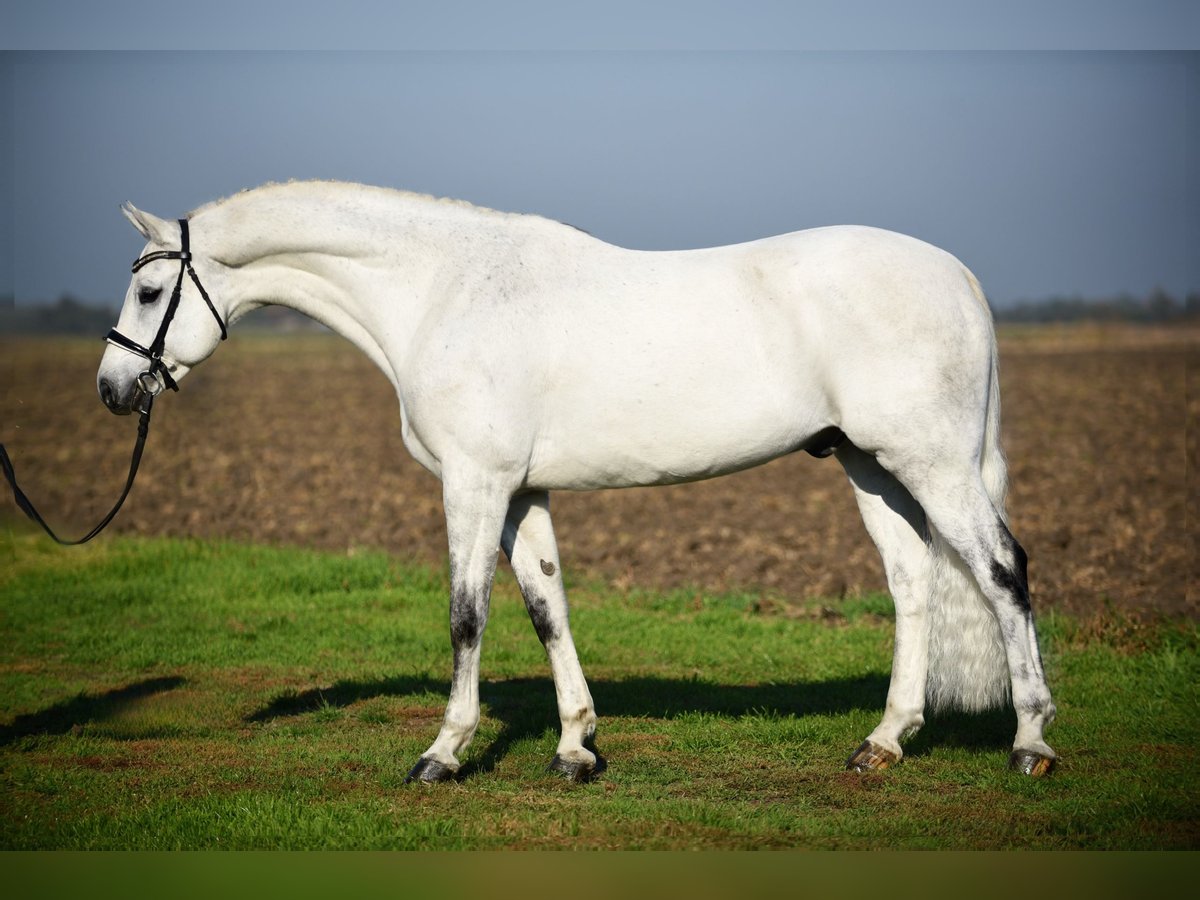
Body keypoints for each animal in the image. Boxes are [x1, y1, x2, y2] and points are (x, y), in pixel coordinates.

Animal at [103, 181, 1060, 782]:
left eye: (149, 292)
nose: (114, 391)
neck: (442, 291)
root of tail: (956, 274)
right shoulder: (522, 492)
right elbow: (545, 607)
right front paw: (575, 748)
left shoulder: (475, 483)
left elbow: (467, 615)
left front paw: (443, 753)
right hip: (871, 465)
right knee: (914, 585)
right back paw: (884, 742)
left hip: (932, 462)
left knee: (1002, 571)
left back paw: (1031, 744)